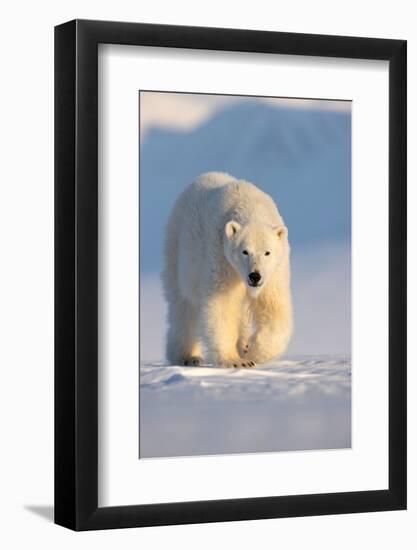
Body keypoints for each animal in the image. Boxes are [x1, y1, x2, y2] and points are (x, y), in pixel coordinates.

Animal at [160, 172, 292, 370]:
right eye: (244, 251)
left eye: (267, 252)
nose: (255, 276)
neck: (250, 205)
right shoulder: (221, 256)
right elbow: (222, 304)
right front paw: (237, 360)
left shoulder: (275, 272)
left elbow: (274, 308)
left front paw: (251, 351)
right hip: (180, 252)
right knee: (184, 307)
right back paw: (188, 356)